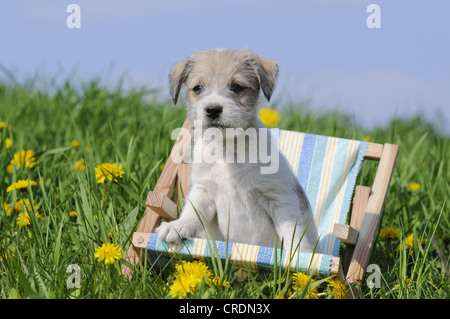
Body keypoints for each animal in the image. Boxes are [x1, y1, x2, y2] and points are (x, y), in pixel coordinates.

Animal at [156, 49, 318, 252]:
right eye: (198, 88)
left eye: (237, 87)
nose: (213, 109)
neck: (228, 150)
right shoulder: (203, 191)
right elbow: (192, 212)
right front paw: (177, 226)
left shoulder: (280, 199)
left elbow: (292, 233)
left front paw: (300, 254)